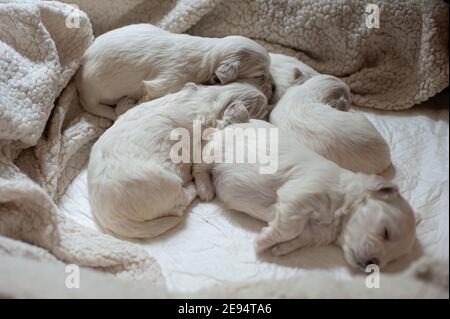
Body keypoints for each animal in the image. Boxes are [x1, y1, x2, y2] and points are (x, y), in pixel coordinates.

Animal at [195, 121, 416, 272]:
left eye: (393, 260)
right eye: (386, 232)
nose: (373, 265)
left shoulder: (313, 233)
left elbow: (296, 238)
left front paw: (278, 249)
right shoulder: (302, 195)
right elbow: (288, 228)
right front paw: (262, 241)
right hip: (214, 150)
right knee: (198, 167)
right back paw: (206, 189)